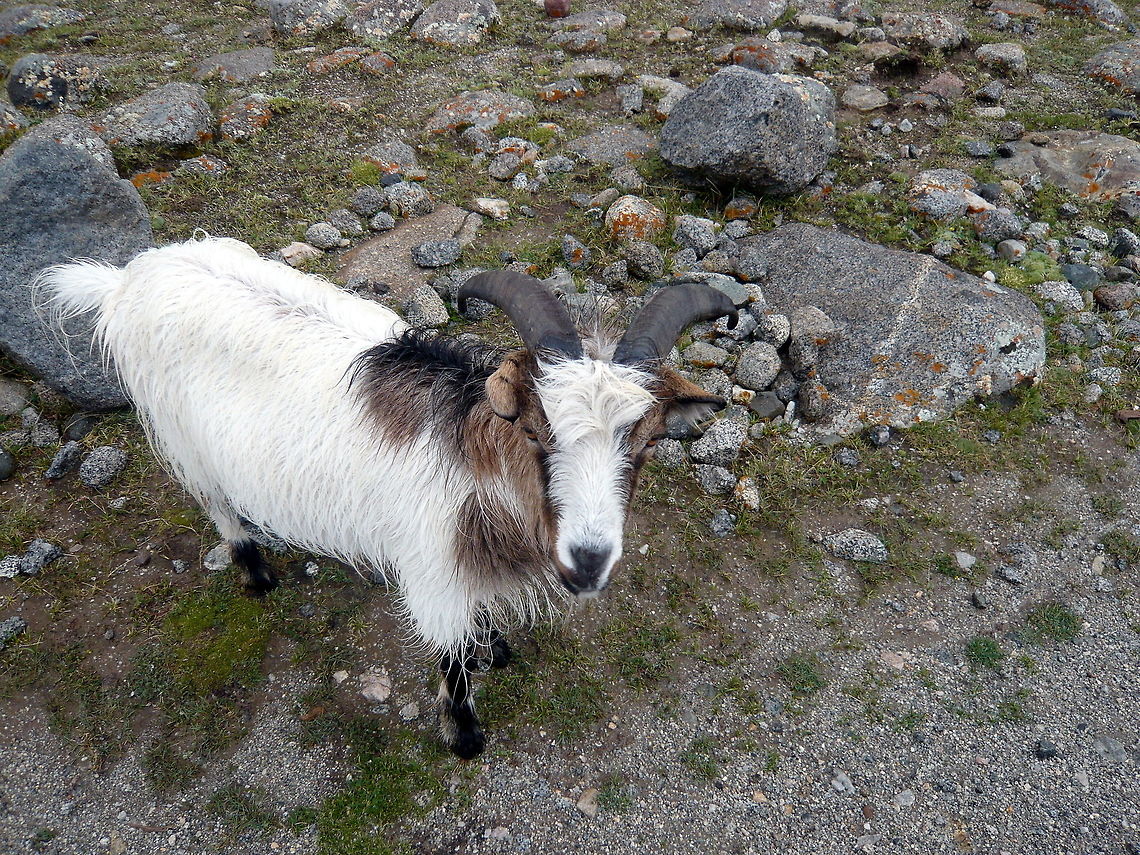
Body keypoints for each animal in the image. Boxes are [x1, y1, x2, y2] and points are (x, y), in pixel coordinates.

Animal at [39, 236, 736, 757]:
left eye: (646, 442)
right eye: (537, 432)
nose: (589, 561)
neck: (471, 461)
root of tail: (127, 279)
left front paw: (496, 648)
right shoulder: (431, 574)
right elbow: (451, 661)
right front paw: (465, 737)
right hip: (186, 441)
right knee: (218, 506)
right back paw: (257, 573)